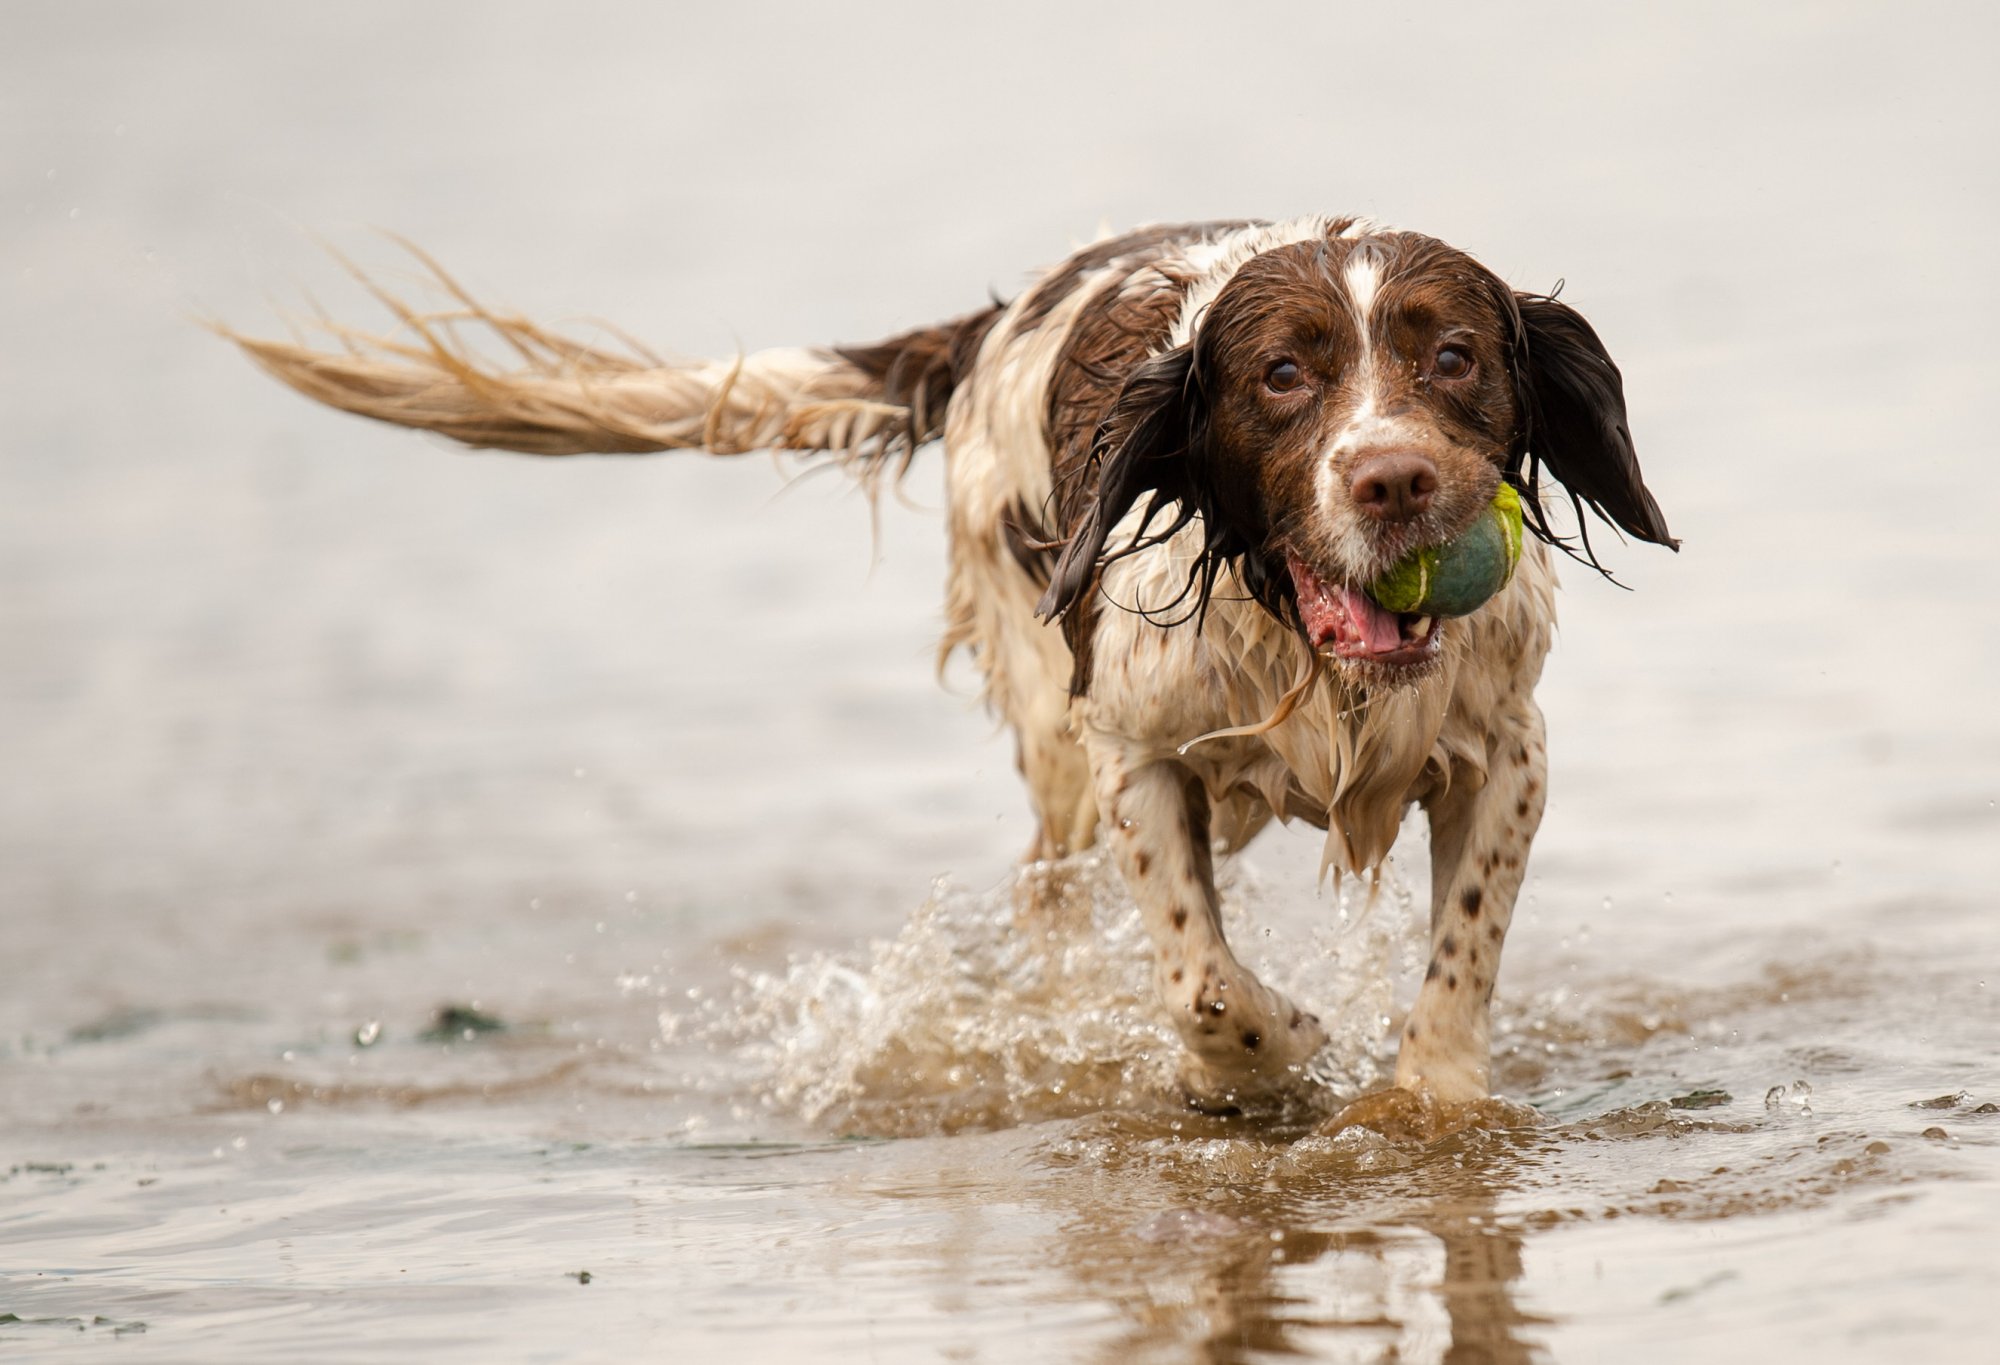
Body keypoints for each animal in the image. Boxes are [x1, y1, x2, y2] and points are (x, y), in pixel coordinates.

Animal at [230, 218, 1672, 1112]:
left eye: (1454, 357)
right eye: (1280, 376)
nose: (1394, 480)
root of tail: (988, 324)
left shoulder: (1503, 751)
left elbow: (1460, 953)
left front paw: (1429, 1096)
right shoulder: (1132, 756)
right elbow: (1206, 984)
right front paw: (1274, 1057)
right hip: (1053, 760)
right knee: (1055, 912)